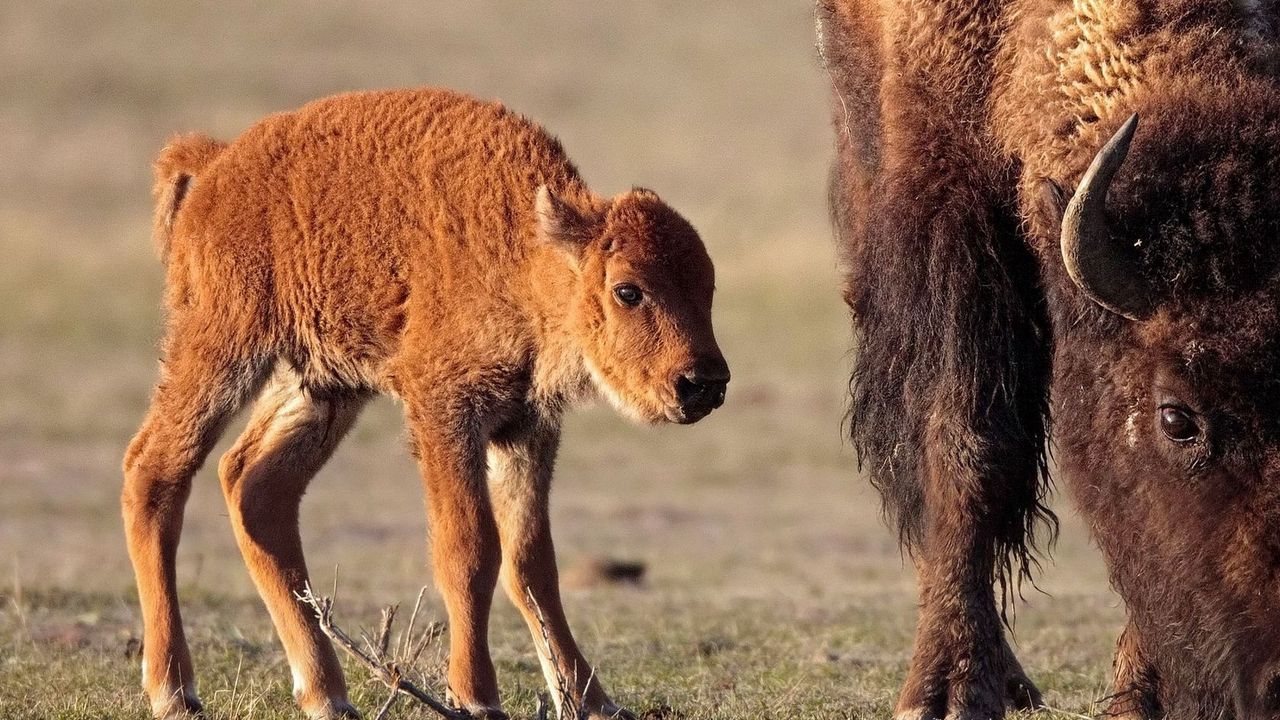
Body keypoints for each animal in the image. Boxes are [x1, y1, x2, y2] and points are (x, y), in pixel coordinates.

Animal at [123, 89, 727, 717]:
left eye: (708, 286)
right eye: (628, 290)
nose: (703, 383)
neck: (524, 254)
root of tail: (217, 162)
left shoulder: (525, 426)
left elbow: (531, 564)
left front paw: (591, 701)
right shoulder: (447, 413)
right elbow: (469, 551)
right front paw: (477, 696)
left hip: (322, 385)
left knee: (256, 486)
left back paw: (326, 694)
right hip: (222, 350)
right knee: (155, 473)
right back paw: (173, 689)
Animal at [824, 0, 1280, 712]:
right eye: (1176, 418)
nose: (1277, 683)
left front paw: (1137, 693)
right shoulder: (947, 194)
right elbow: (967, 444)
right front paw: (945, 693)